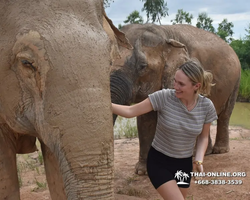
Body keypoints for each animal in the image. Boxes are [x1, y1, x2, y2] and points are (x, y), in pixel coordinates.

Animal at [110, 23, 241, 175]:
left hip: (236, 82)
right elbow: (145, 119)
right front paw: (142, 171)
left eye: (142, 66)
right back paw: (203, 153)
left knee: (225, 114)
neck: (164, 33)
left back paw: (219, 151)